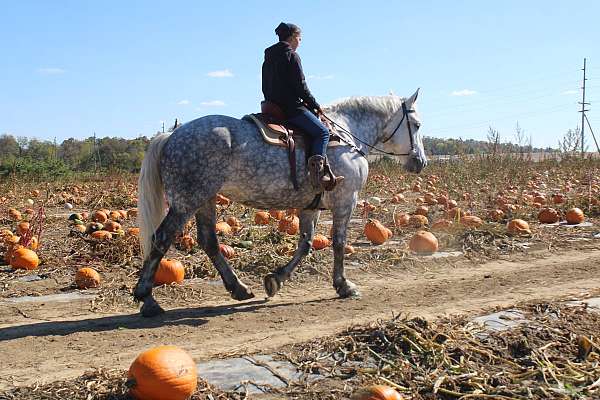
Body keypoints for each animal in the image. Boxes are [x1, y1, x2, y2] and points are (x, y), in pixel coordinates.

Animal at [136, 89, 426, 318]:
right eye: (417, 125)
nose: (420, 162)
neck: (347, 136)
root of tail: (172, 135)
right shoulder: (346, 201)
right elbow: (338, 243)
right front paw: (344, 285)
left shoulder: (310, 207)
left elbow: (305, 244)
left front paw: (276, 279)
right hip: (186, 203)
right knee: (161, 239)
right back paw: (147, 299)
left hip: (204, 200)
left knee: (208, 241)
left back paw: (239, 288)